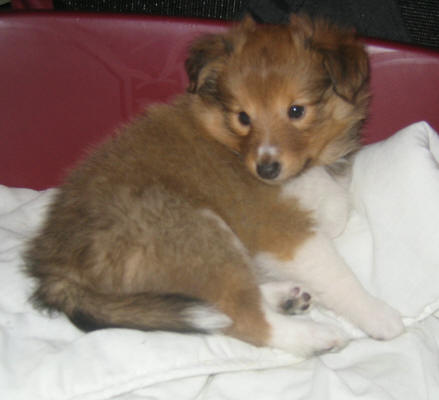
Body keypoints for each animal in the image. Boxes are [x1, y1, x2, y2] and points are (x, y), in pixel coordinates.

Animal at [25, 15, 404, 358]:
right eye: (243, 117)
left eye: (296, 110)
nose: (266, 170)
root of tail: (59, 270)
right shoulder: (284, 231)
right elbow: (336, 274)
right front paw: (378, 315)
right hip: (198, 229)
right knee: (241, 315)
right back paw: (315, 337)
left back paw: (282, 296)